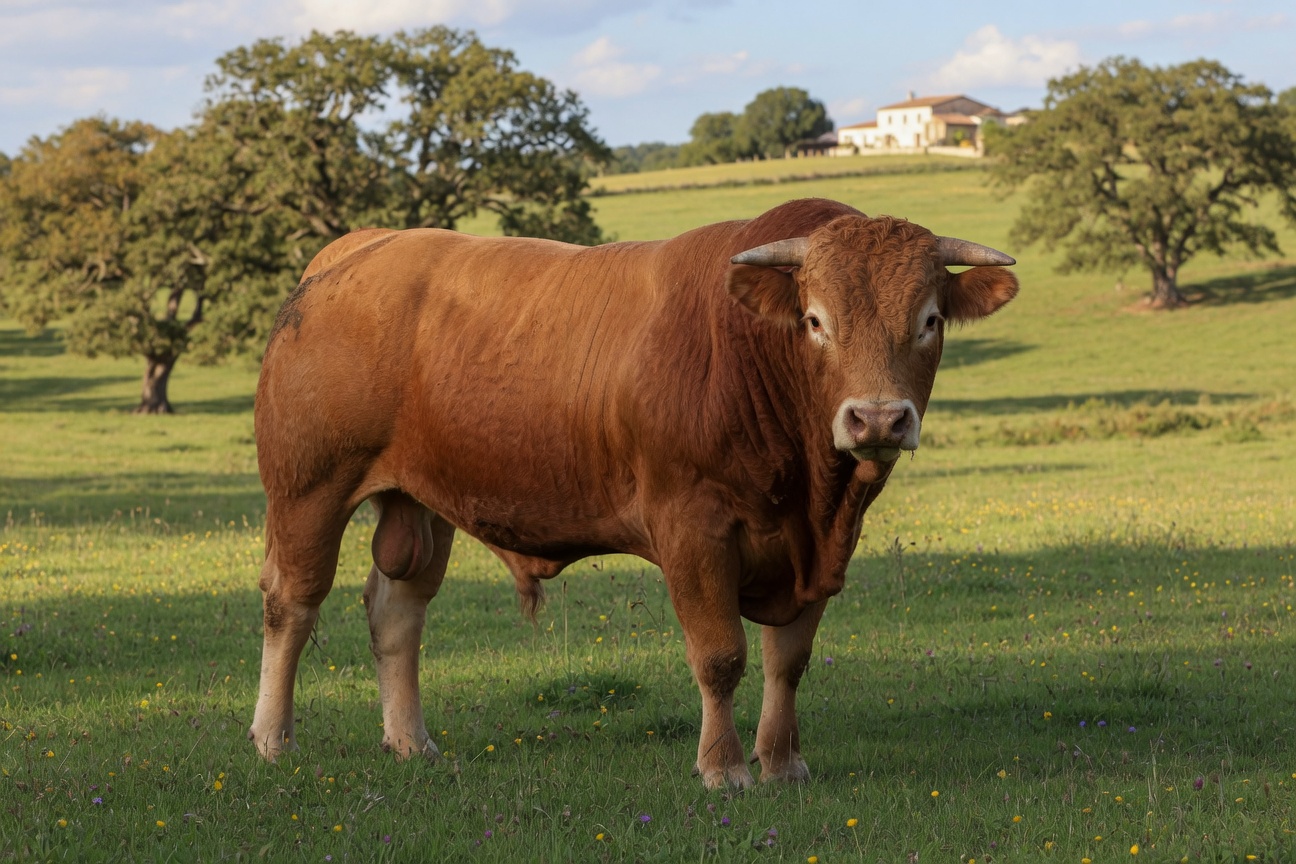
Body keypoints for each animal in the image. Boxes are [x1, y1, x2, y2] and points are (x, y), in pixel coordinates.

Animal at [249, 197, 1018, 789]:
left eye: (929, 320)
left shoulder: (822, 548)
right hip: (308, 486)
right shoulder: (693, 529)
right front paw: (724, 768)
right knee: (293, 602)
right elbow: (721, 655)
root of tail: (366, 245)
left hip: (422, 501)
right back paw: (273, 740)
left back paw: (412, 742)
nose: (878, 418)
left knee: (397, 610)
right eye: (816, 321)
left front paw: (782, 763)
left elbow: (788, 661)